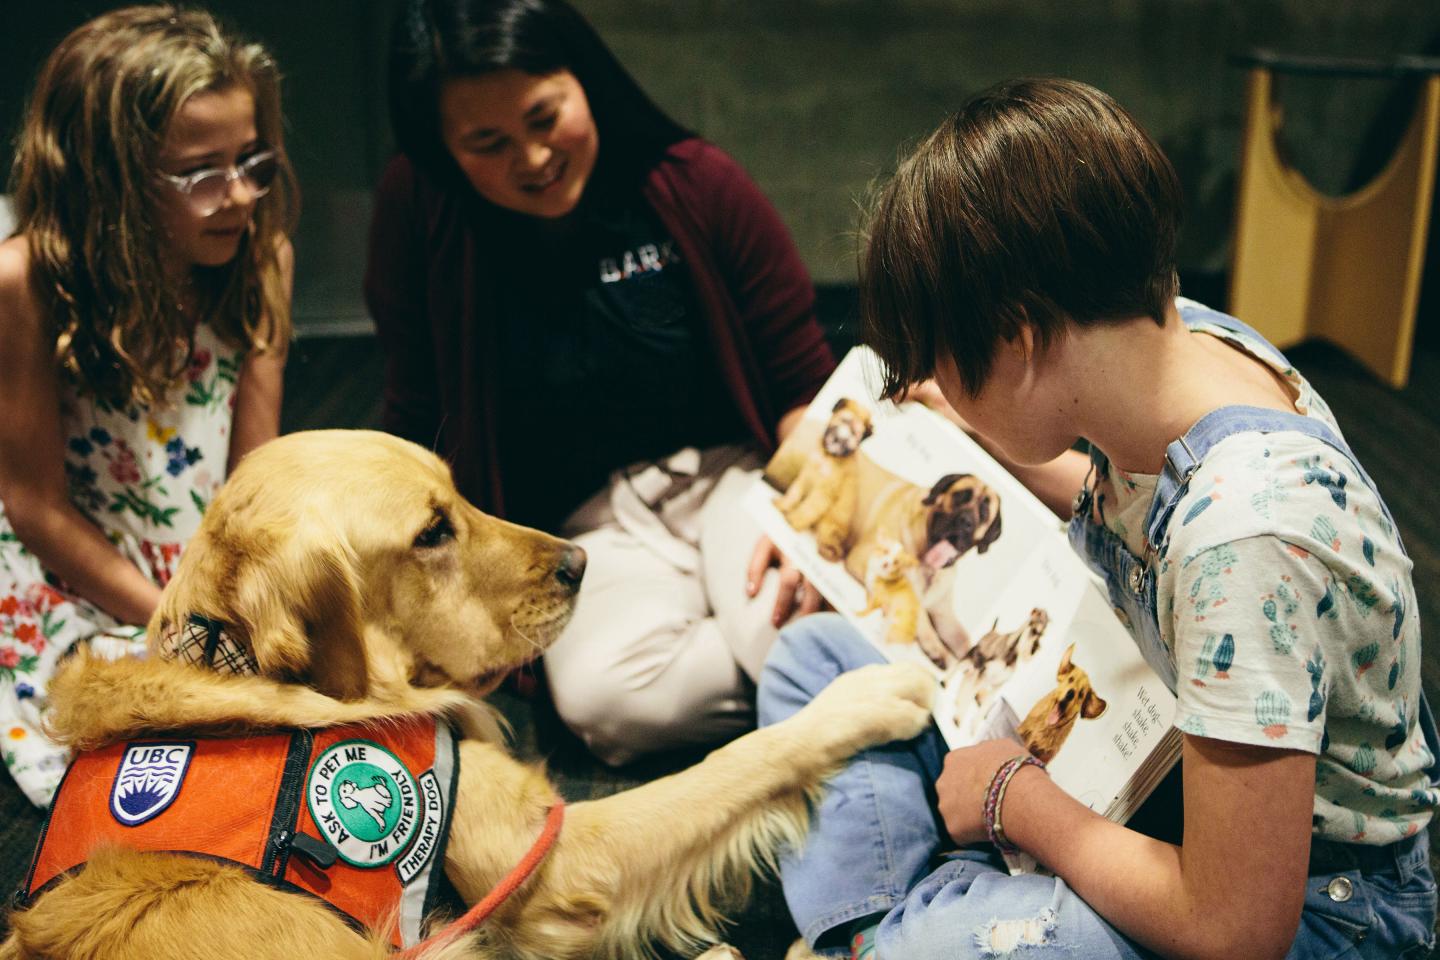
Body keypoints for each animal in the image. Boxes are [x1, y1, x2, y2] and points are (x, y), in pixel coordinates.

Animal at [2, 431, 933, 960]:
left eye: (458, 496)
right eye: (430, 533)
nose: (580, 563)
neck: (236, 669)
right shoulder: (555, 854)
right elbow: (738, 758)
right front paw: (870, 691)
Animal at [777, 397, 875, 564]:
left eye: (855, 433)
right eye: (845, 421)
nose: (844, 440)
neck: (828, 456)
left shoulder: (825, 490)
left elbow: (808, 507)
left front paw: (794, 520)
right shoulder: (806, 474)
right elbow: (794, 492)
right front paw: (782, 505)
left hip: (829, 527)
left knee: (831, 543)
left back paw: (827, 551)